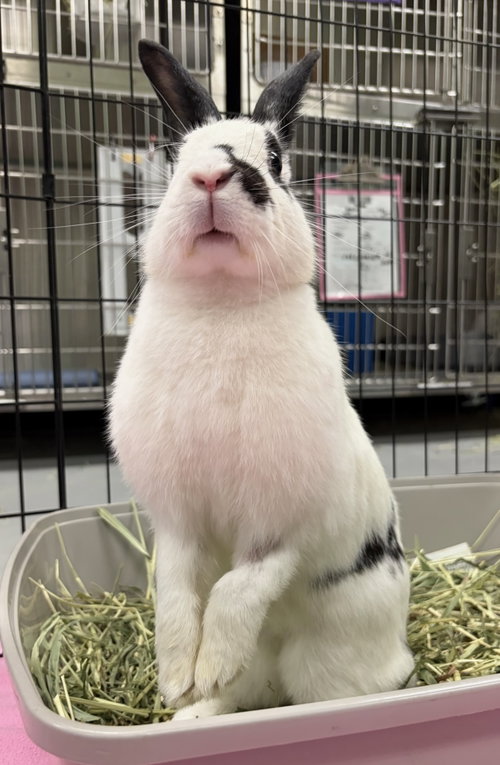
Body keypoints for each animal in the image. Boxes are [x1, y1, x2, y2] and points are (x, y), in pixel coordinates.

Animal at [109, 39, 414, 720]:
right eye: (178, 156)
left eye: (274, 159)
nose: (210, 177)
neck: (221, 304)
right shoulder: (177, 520)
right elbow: (176, 591)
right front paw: (179, 676)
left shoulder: (280, 528)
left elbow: (238, 587)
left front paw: (210, 662)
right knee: (246, 692)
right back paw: (195, 709)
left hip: (326, 663)